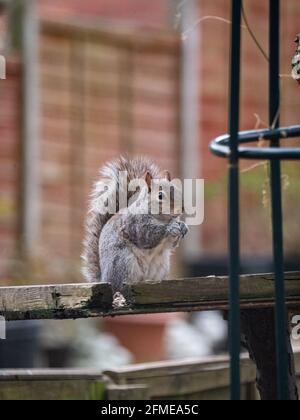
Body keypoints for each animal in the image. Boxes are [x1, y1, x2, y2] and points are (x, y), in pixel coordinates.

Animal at [81, 156, 186, 306]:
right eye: (160, 196)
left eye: (177, 190)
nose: (181, 209)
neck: (162, 219)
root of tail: (104, 279)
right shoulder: (135, 224)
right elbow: (147, 235)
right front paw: (170, 228)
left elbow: (171, 244)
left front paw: (182, 226)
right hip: (123, 262)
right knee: (120, 287)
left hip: (161, 268)